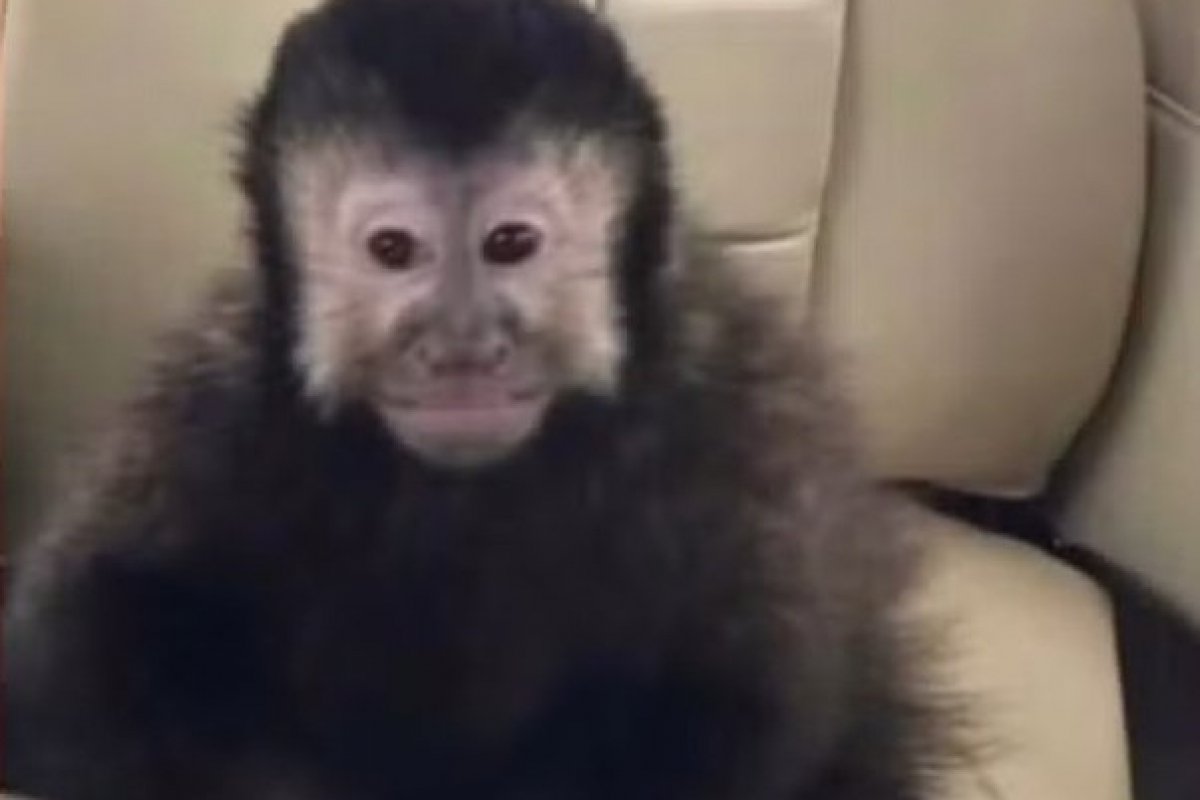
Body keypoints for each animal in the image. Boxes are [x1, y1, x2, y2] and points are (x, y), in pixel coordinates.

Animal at [3, 0, 959, 798]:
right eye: (394, 250)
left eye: (510, 243)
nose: (462, 348)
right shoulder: (214, 400)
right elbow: (72, 647)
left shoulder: (735, 417)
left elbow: (747, 705)